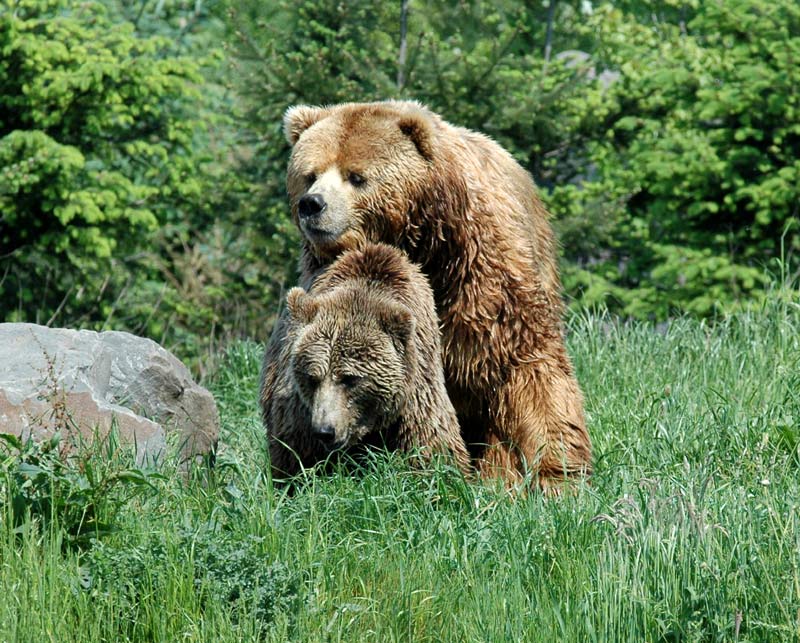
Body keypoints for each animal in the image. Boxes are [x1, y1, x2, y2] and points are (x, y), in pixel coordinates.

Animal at [260, 242, 472, 478]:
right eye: (312, 378)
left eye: (350, 378)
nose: (325, 431)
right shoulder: (298, 414)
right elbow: (296, 460)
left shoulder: (416, 398)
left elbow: (433, 451)